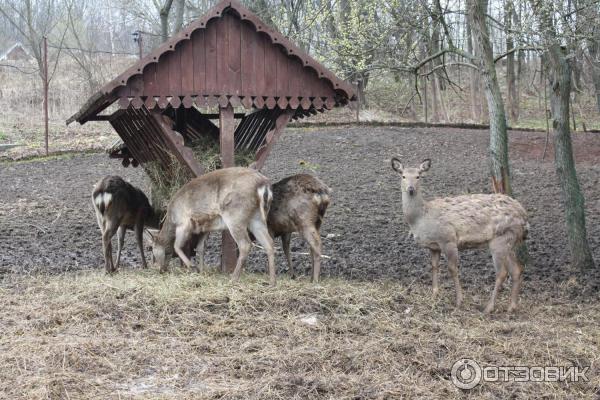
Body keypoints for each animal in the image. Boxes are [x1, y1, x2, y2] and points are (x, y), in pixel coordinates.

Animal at [392, 159, 528, 312]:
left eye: (418, 176)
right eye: (403, 176)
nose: (411, 189)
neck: (421, 219)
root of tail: (524, 216)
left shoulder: (448, 239)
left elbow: (452, 269)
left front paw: (459, 301)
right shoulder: (434, 246)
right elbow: (434, 266)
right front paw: (434, 294)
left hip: (500, 239)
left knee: (502, 273)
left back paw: (488, 308)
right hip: (509, 241)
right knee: (517, 269)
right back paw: (512, 307)